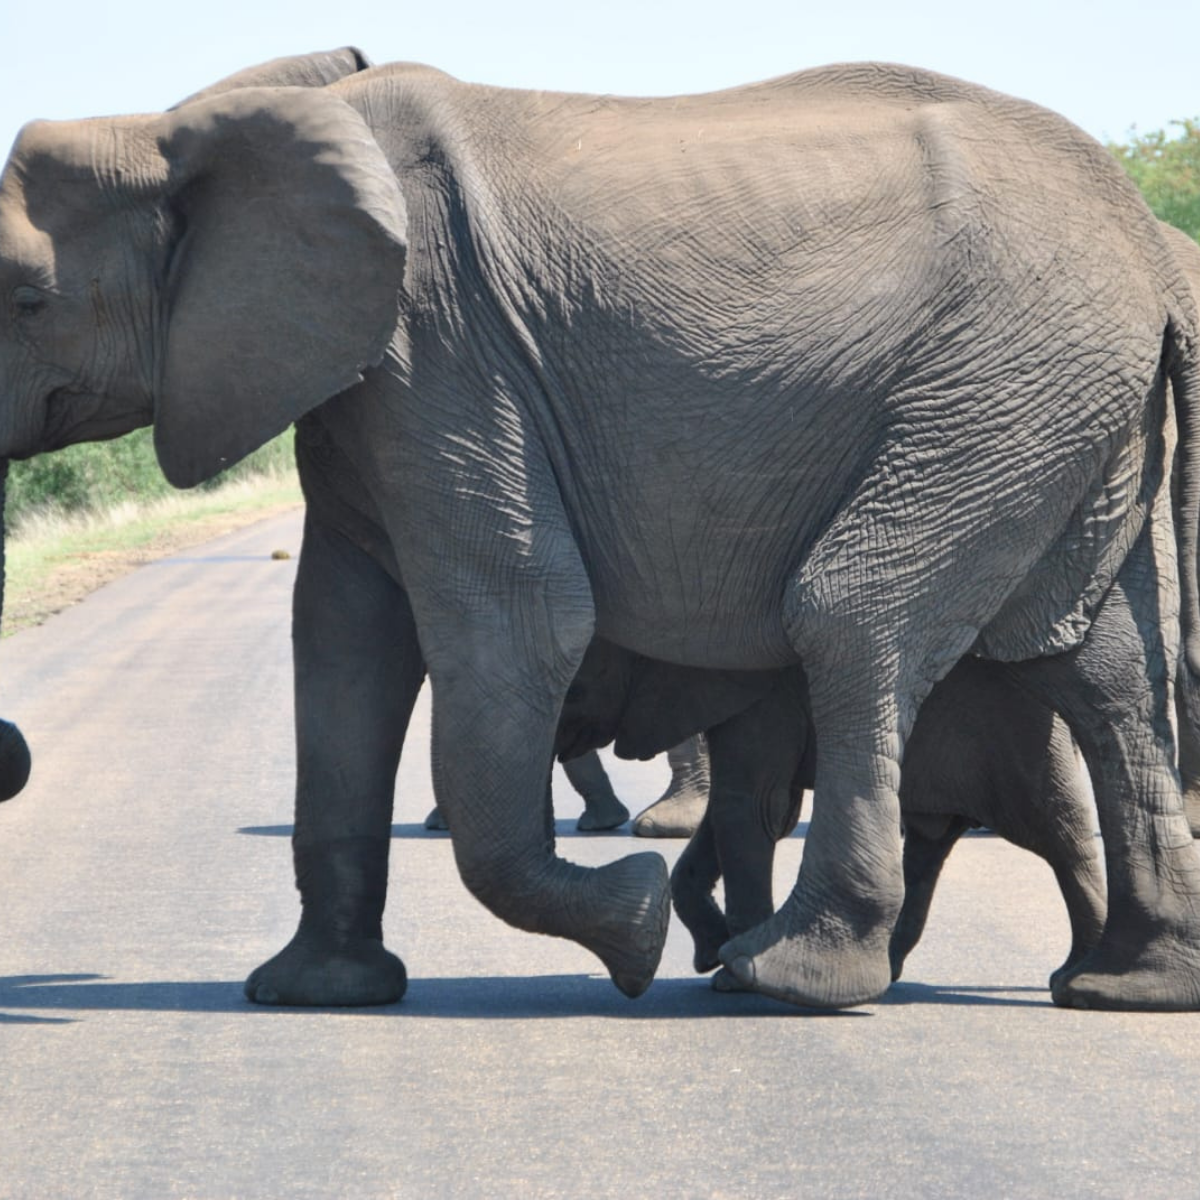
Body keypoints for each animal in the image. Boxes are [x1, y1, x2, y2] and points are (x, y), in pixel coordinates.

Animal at [2, 51, 1199, 1012]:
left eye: (24, 300)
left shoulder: (438, 353)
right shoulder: (362, 388)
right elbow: (342, 644)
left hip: (999, 382)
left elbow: (521, 626)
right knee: (1096, 663)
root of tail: (1148, 247)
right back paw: (1123, 989)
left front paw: (636, 925)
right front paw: (314, 996)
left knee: (855, 616)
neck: (179, 129)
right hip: (1059, 407)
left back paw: (787, 977)